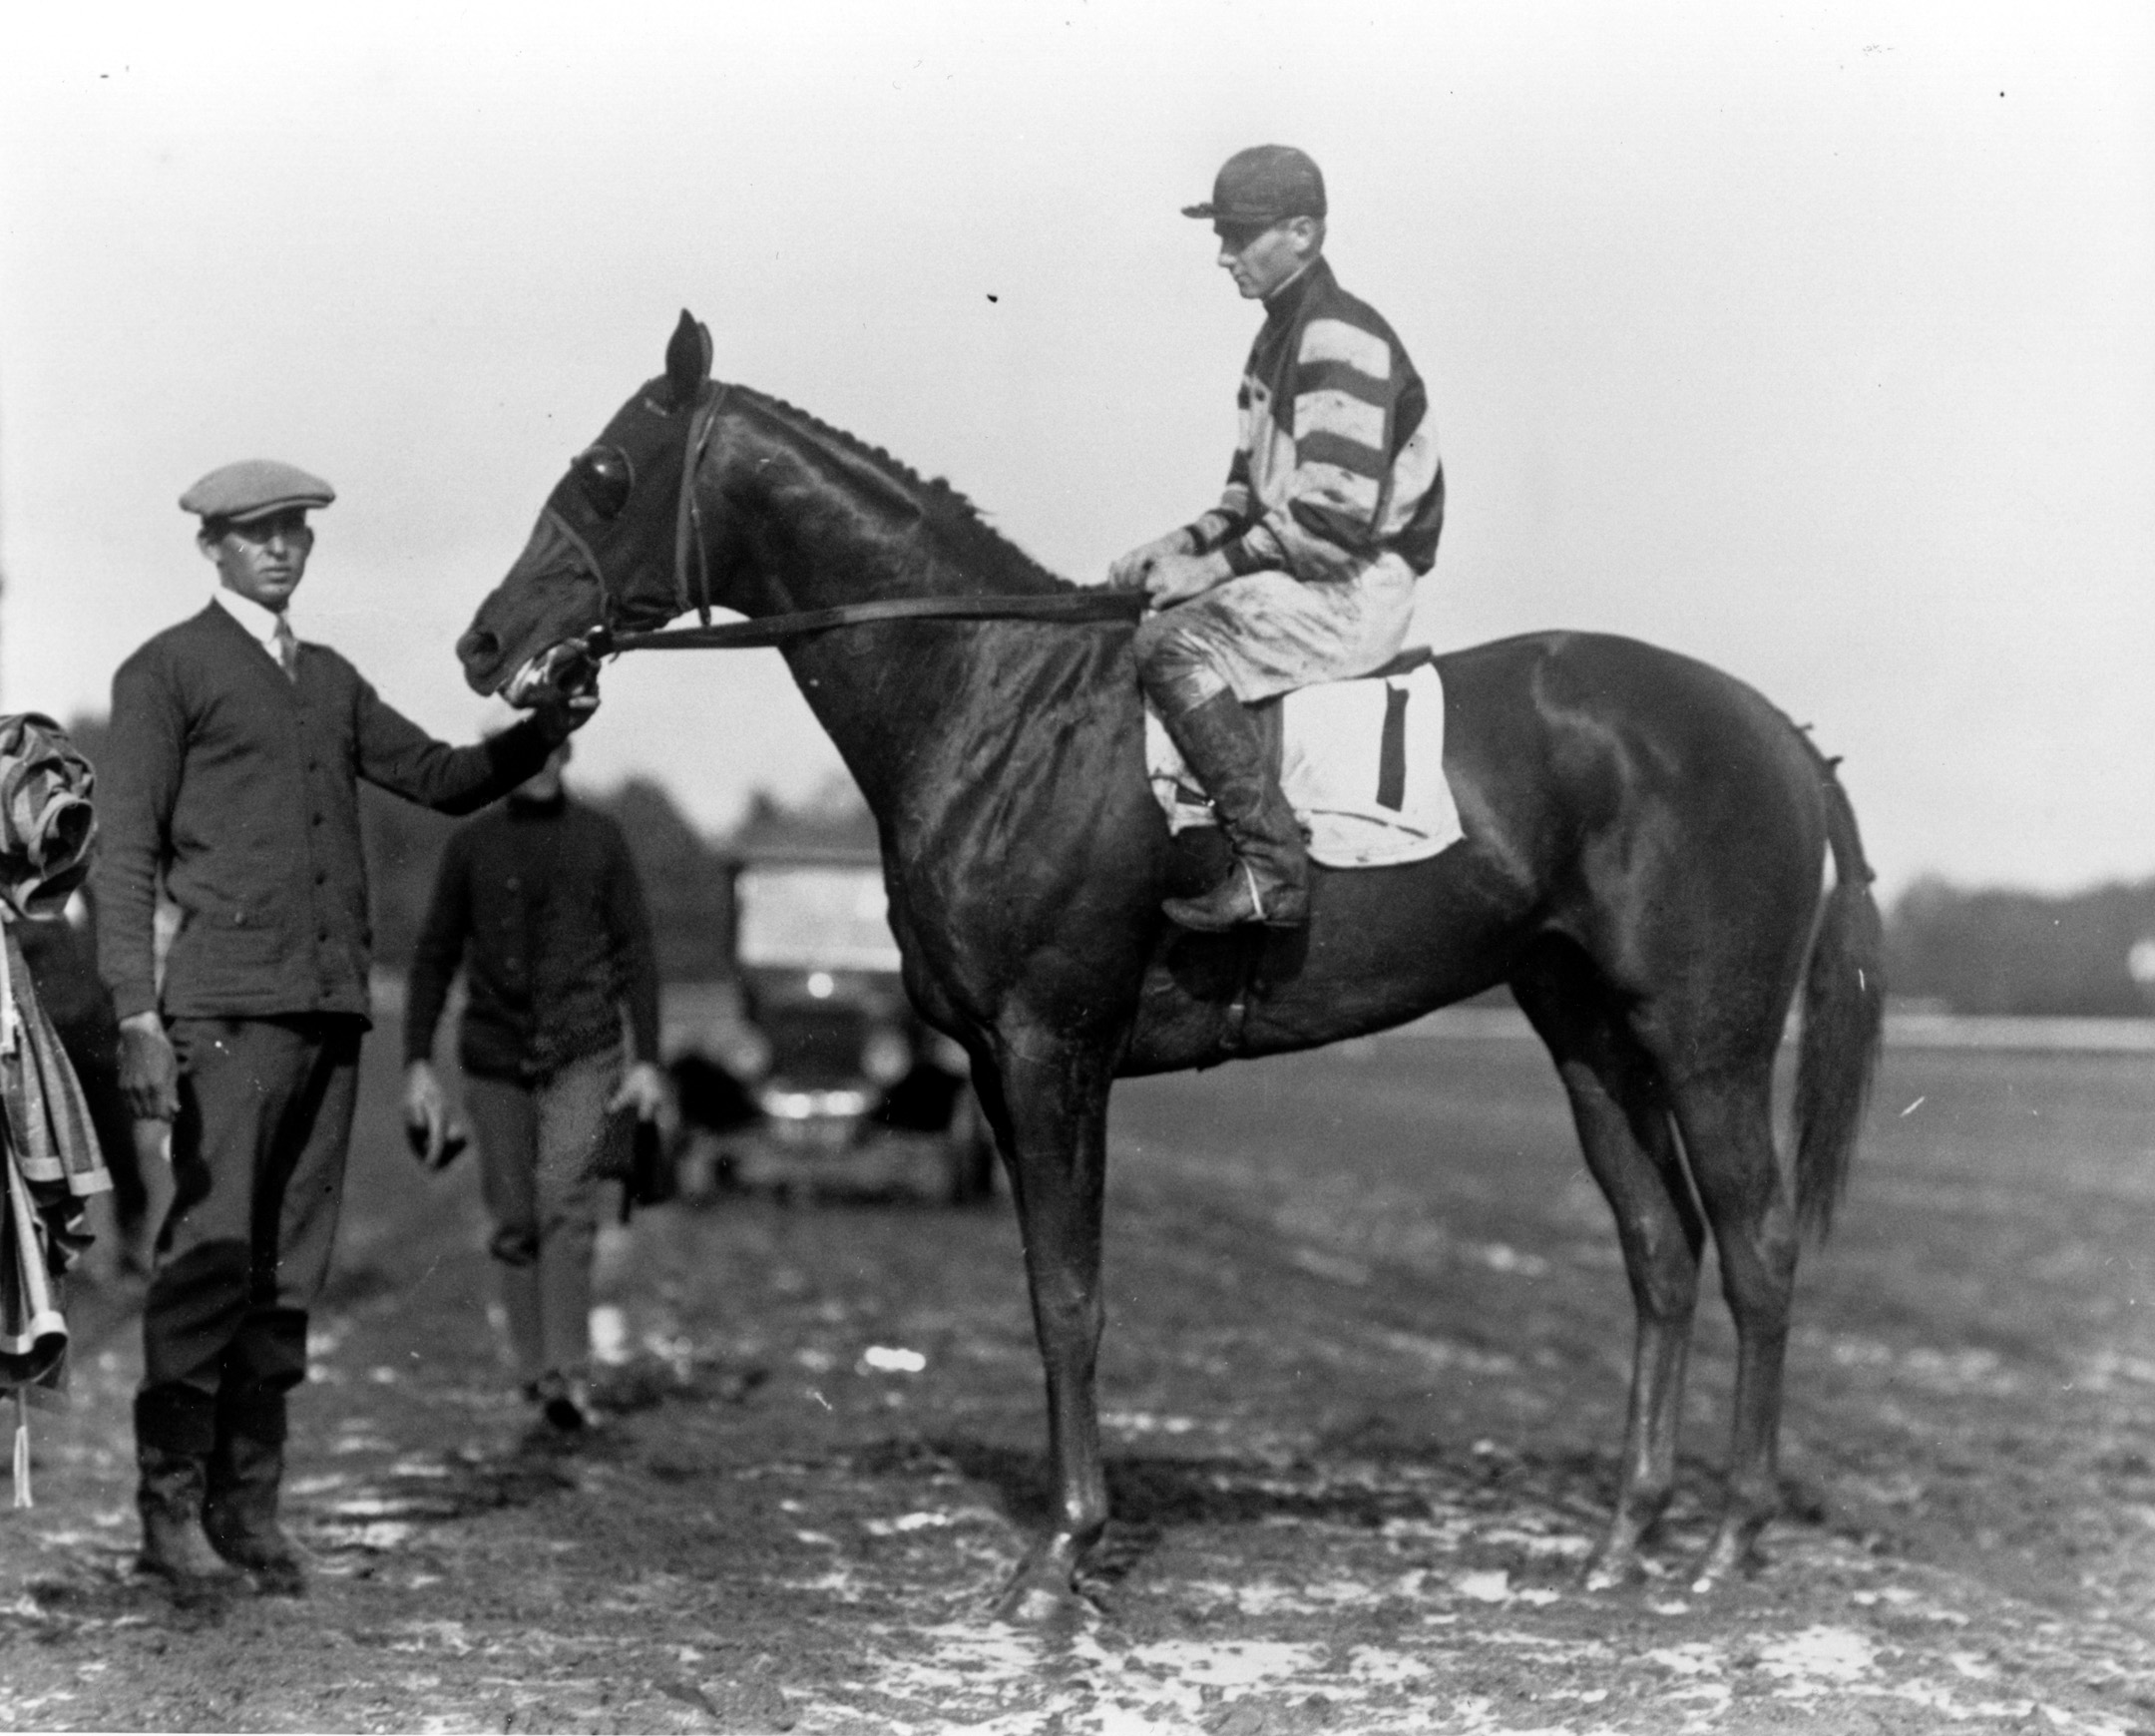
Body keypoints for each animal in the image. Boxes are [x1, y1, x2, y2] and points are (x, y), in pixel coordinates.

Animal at [459, 309, 1888, 1619]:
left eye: (605, 473)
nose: (484, 641)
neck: (993, 698)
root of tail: (1773, 726)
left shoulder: (1055, 1050)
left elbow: (1070, 1298)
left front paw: (1060, 1555)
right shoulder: (995, 1067)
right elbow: (1046, 1290)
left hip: (1707, 1044)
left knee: (1757, 1249)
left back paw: (1729, 1540)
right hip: (1588, 1036)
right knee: (1662, 1251)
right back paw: (1625, 1538)